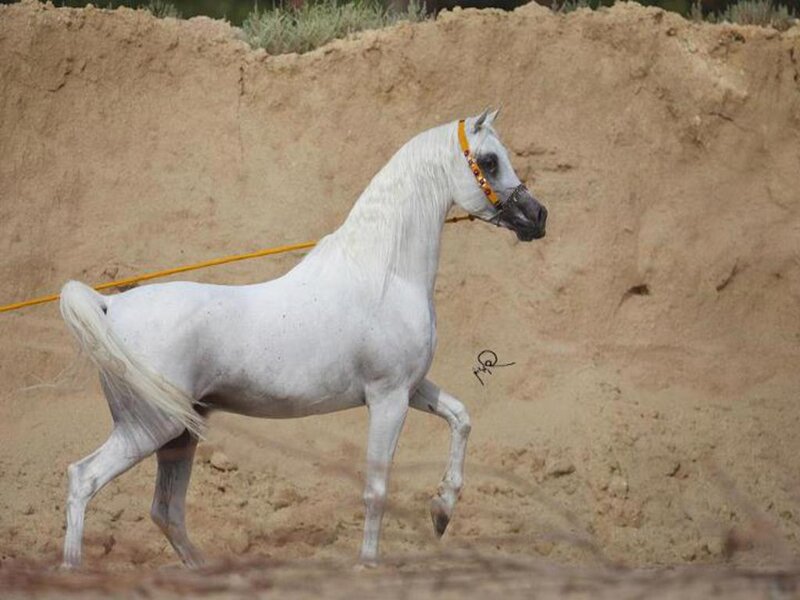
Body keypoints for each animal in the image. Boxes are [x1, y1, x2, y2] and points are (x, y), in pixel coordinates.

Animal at [58, 109, 548, 569]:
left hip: (178, 433)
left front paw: (442, 511)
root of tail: (109, 305)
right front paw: (368, 564)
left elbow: (460, 417)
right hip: (149, 427)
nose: (538, 217)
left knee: (166, 511)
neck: (384, 273)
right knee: (84, 479)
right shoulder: (387, 397)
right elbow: (377, 488)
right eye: (490, 160)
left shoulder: (410, 388)